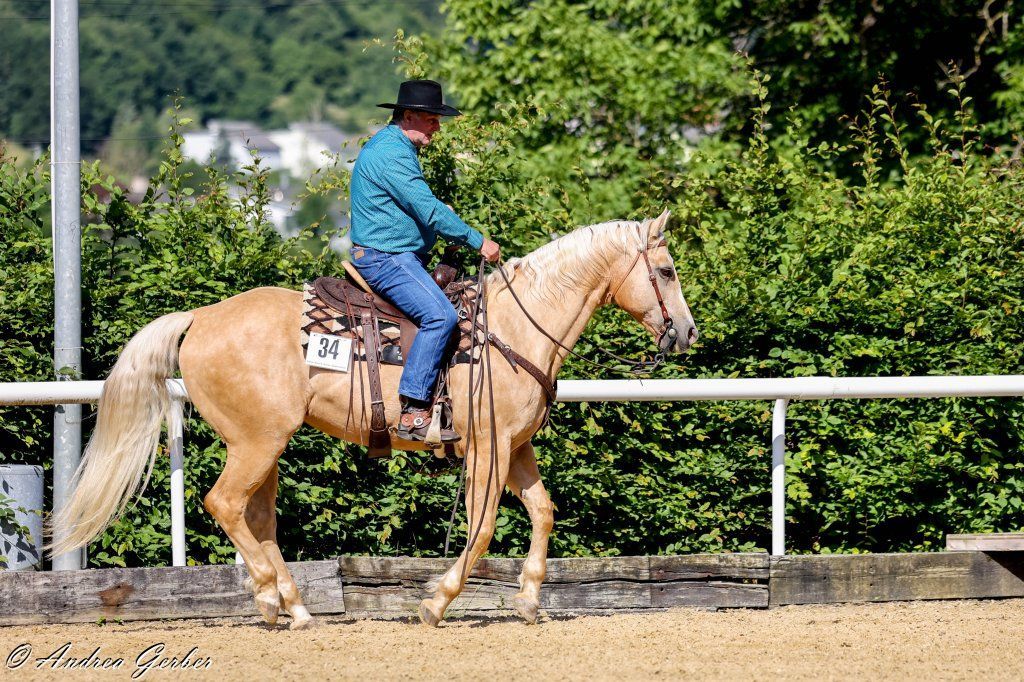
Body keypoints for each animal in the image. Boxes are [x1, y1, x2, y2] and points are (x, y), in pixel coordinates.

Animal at [50, 210, 698, 629]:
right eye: (667, 272)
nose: (688, 333)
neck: (516, 327)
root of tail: (201, 316)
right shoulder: (487, 448)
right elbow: (483, 527)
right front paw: (437, 602)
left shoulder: (515, 447)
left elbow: (542, 512)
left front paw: (530, 599)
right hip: (257, 443)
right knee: (225, 505)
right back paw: (270, 598)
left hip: (265, 445)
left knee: (258, 518)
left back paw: (291, 605)